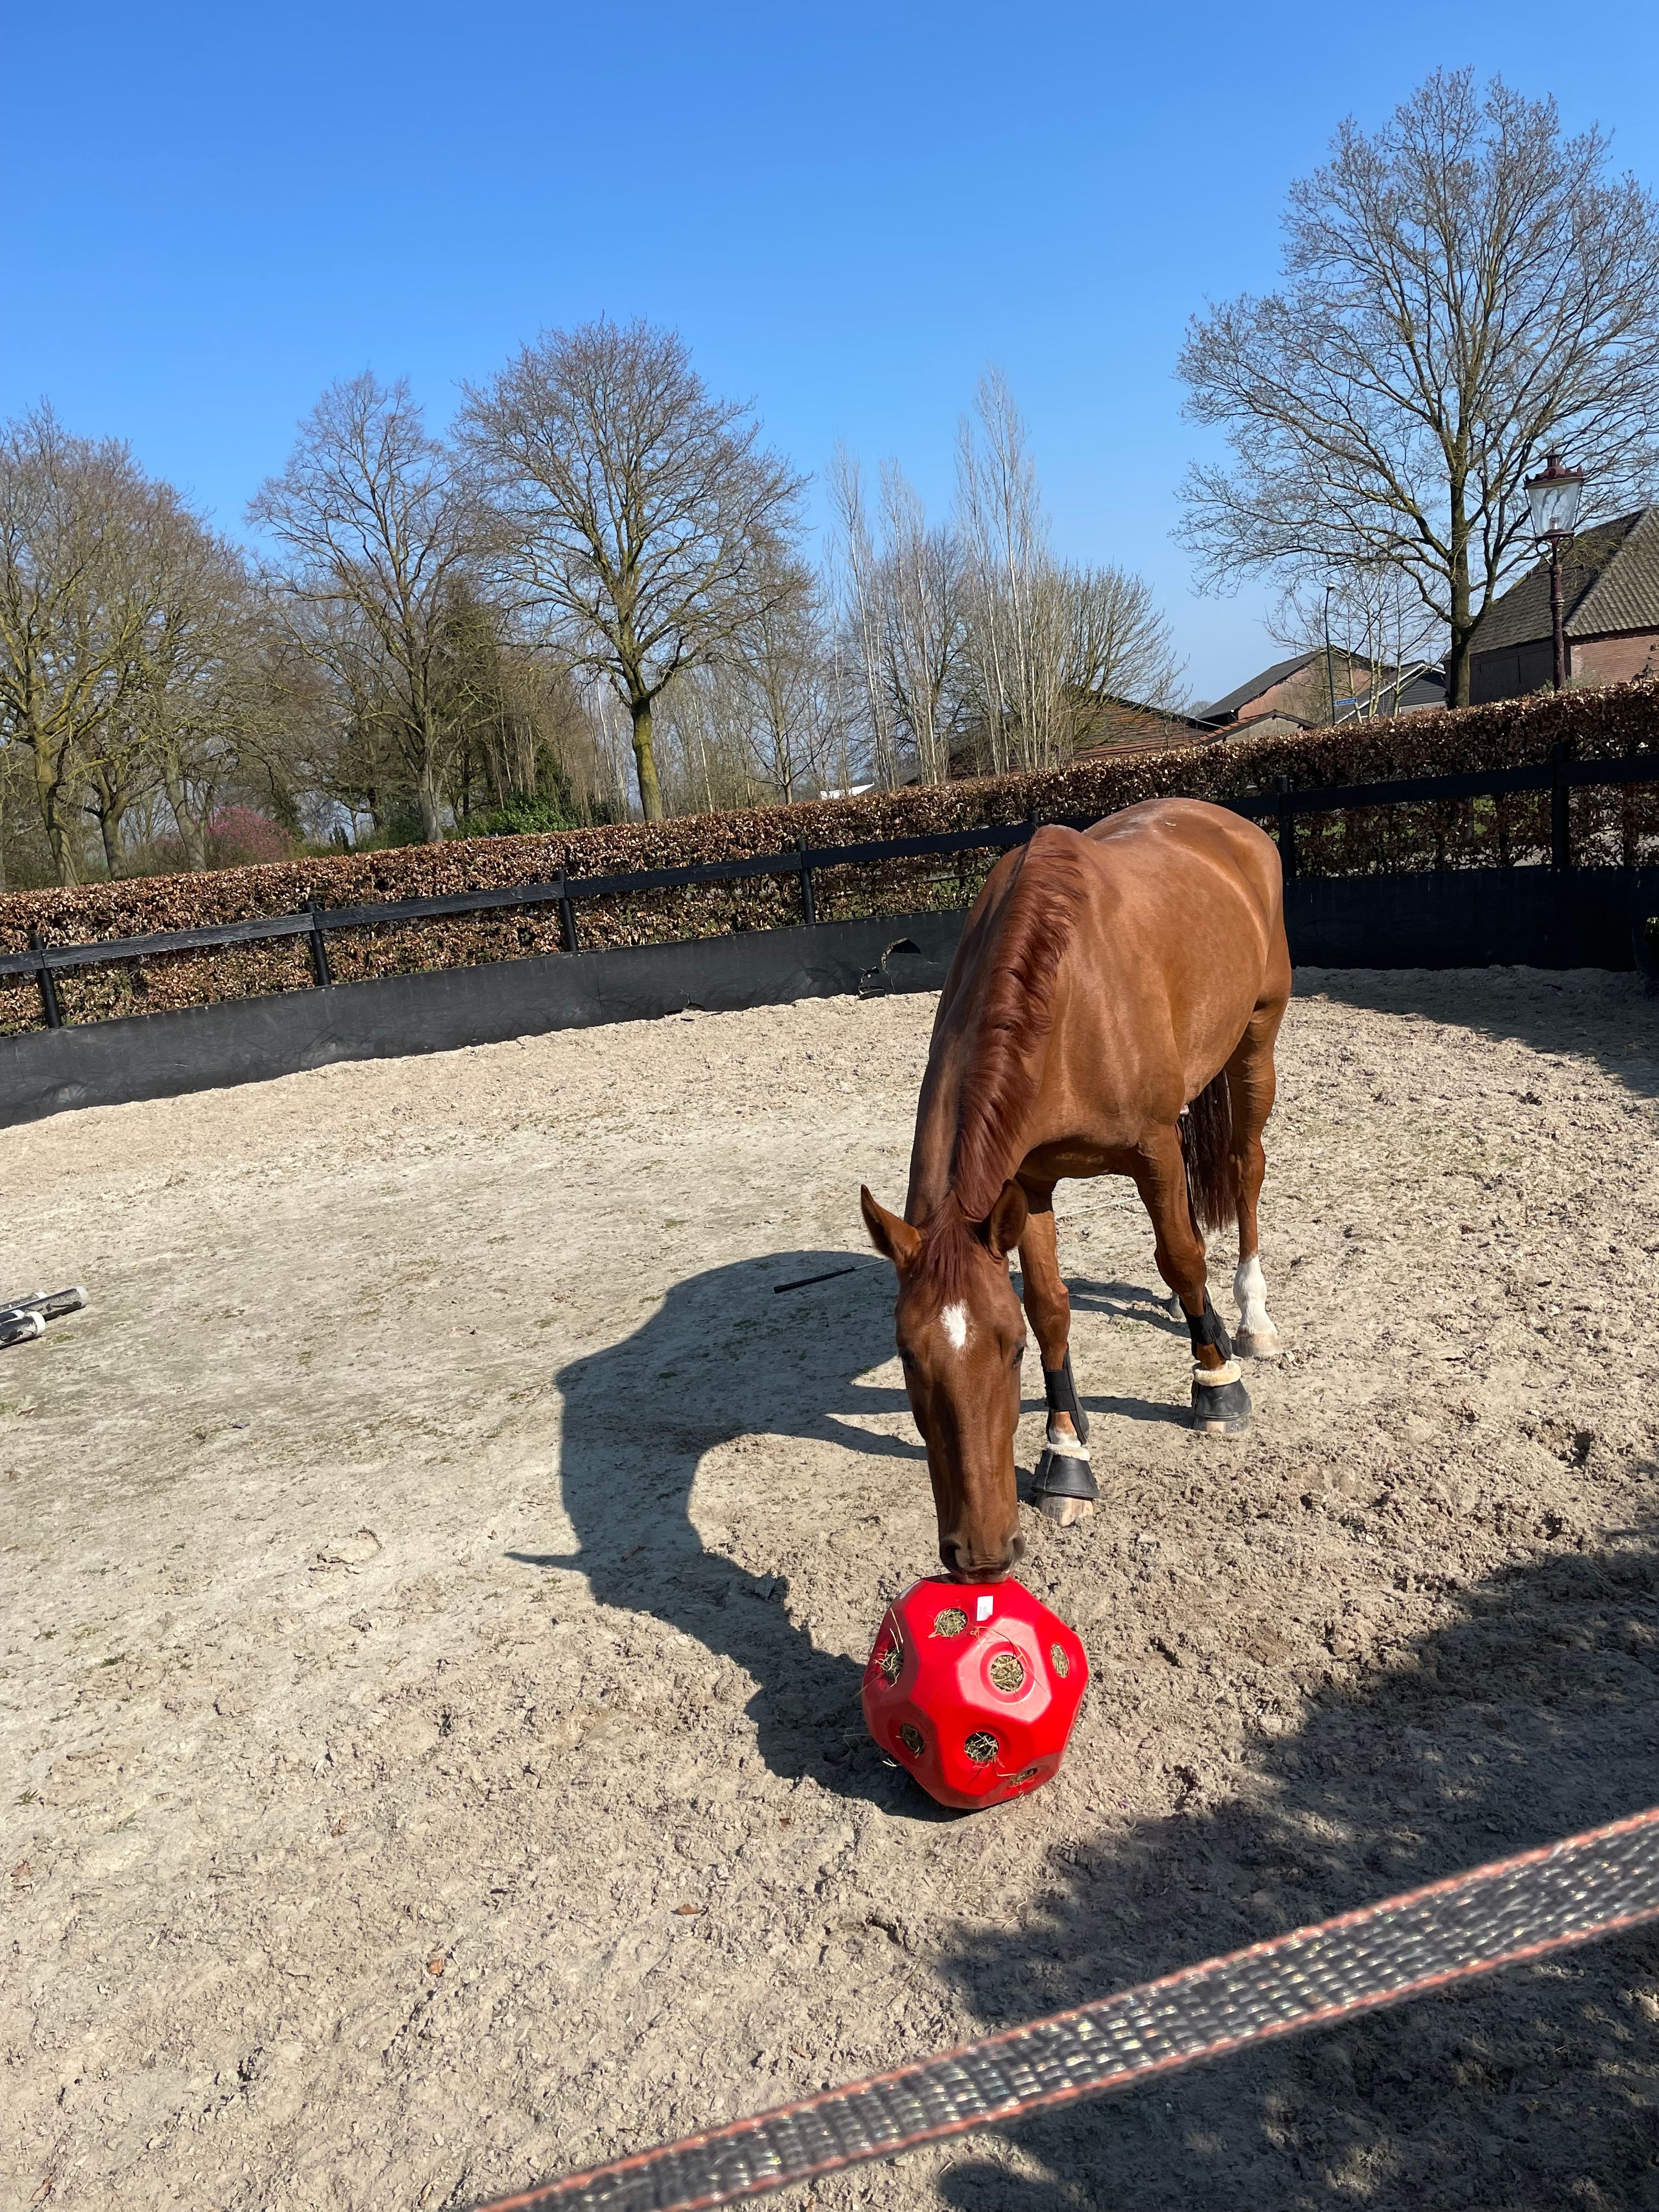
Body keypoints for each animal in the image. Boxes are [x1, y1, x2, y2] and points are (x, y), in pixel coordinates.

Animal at [860, 797, 1290, 1584]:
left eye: (1009, 1354)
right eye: (907, 1355)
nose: (981, 1555)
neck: (1063, 995)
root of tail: (1227, 823)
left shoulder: (1152, 1148)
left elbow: (1180, 1256)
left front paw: (1217, 1388)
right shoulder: (1027, 1182)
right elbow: (1053, 1307)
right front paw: (1065, 1453)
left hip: (1256, 1037)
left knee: (1246, 1167)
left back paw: (1248, 1318)